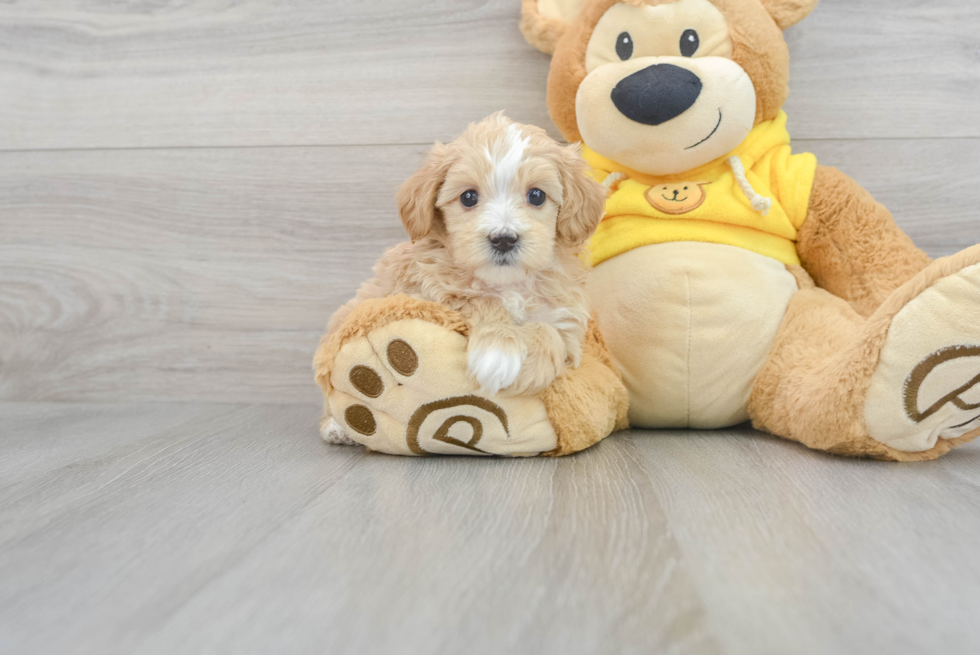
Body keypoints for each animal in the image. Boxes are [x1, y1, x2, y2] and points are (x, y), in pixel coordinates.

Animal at [322, 115, 604, 446]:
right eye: (469, 197)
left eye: (537, 195)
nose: (503, 239)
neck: (508, 283)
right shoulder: (424, 291)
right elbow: (476, 299)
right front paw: (499, 352)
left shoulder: (566, 319)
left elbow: (550, 332)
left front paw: (528, 367)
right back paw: (339, 428)